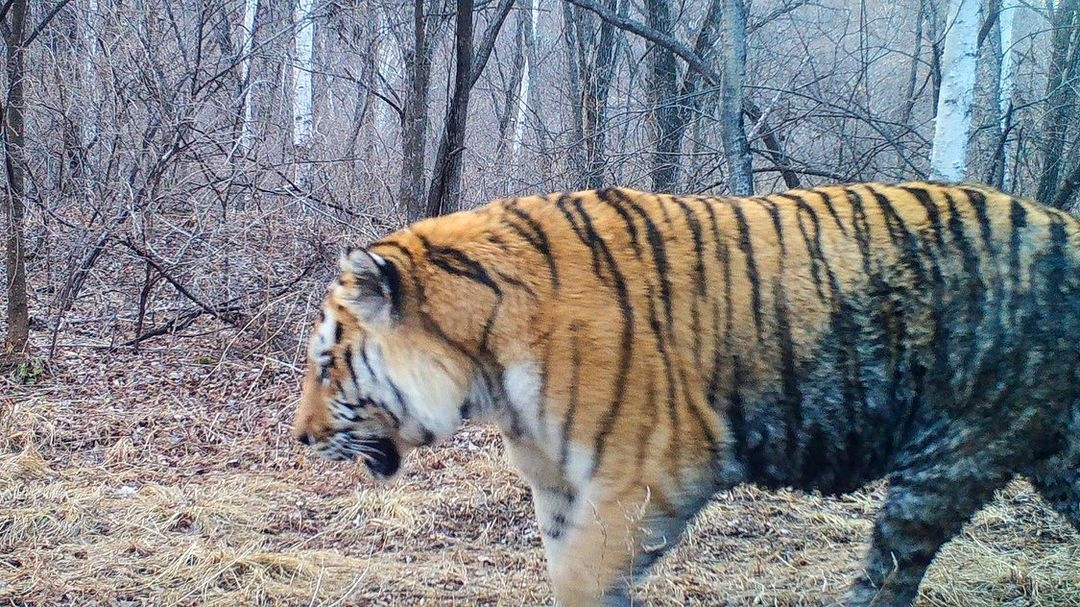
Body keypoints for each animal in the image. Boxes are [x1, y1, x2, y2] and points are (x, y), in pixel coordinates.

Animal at [291, 181, 1075, 604]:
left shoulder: (646, 477)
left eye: (327, 363)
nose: (299, 437)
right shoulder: (560, 486)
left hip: (951, 456)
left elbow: (582, 580)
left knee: (887, 575)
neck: (488, 368)